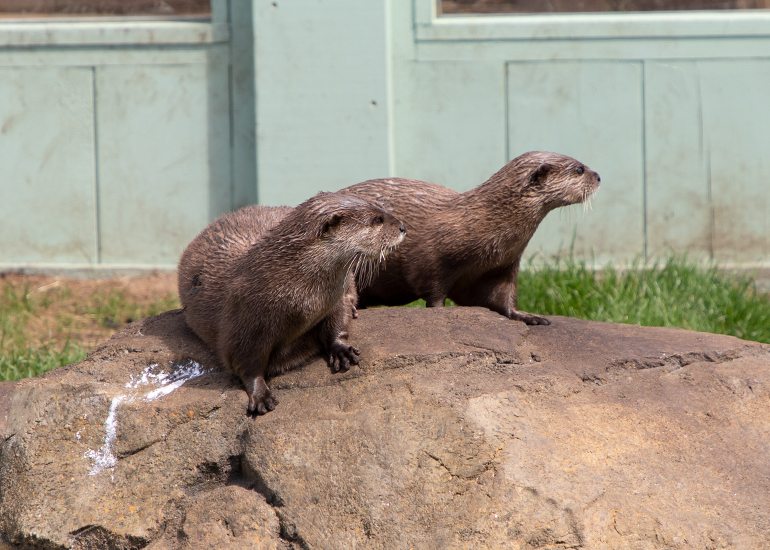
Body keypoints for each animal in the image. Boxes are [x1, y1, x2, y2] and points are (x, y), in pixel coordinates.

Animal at [178, 193, 406, 414]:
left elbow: (338, 322)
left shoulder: (334, 300)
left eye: (381, 209)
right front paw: (259, 394)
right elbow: (244, 361)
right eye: (377, 220)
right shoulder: (244, 318)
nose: (403, 227)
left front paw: (342, 350)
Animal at [340, 151, 600, 325]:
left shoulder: (502, 267)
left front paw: (528, 316)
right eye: (579, 169)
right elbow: (433, 292)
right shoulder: (430, 261)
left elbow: (505, 298)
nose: (598, 176)